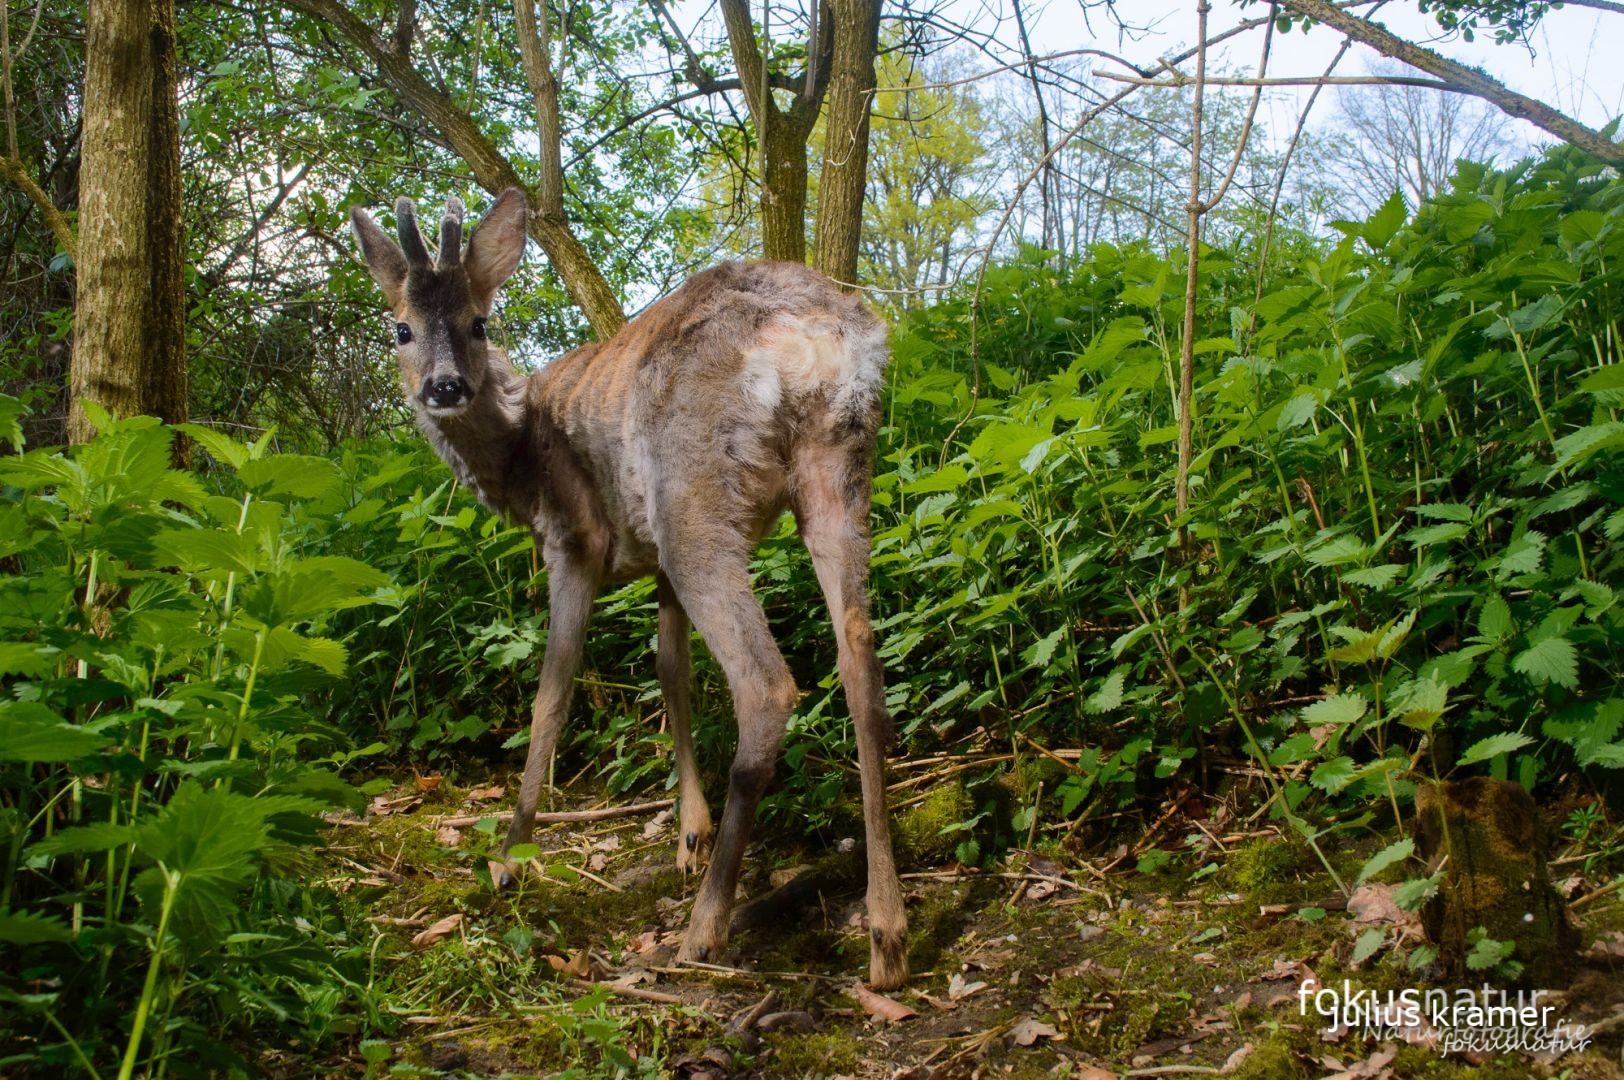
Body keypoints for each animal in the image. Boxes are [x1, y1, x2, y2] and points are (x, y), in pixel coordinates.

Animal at [352, 187, 915, 987]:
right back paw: (886, 935)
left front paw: (509, 859)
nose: (445, 386)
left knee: (767, 686)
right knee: (861, 661)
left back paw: (705, 929)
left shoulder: (574, 541)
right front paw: (688, 835)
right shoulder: (653, 565)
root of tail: (808, 336)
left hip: (692, 497)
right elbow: (670, 672)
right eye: (400, 327)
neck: (518, 456)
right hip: (837, 467)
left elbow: (552, 693)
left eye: (477, 323)